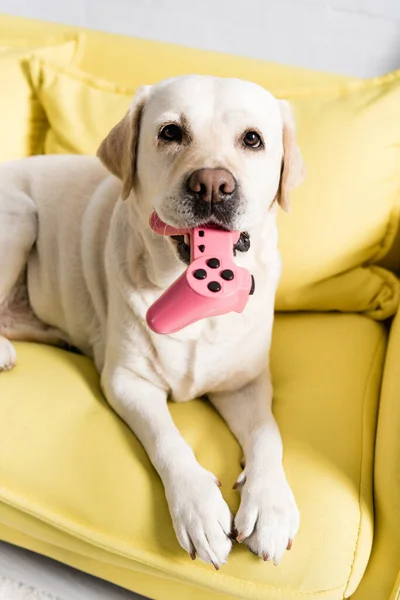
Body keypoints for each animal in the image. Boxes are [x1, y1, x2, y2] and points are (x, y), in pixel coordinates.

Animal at [0, 75, 304, 568]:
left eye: (253, 139)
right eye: (171, 132)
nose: (212, 185)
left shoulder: (246, 383)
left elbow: (268, 435)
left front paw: (271, 504)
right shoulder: (127, 381)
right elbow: (168, 439)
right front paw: (198, 508)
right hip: (20, 215)